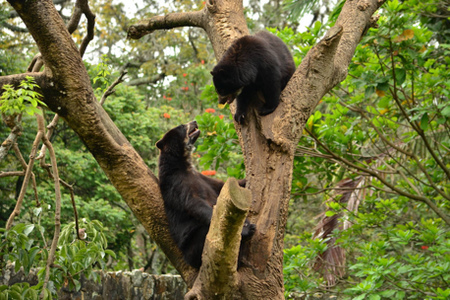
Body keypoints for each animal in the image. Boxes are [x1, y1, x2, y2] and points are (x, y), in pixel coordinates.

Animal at [156, 120, 255, 268]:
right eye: (182, 126)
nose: (194, 121)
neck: (183, 164)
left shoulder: (202, 178)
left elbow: (220, 185)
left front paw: (245, 179)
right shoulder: (177, 183)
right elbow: (195, 204)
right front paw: (246, 229)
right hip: (193, 246)